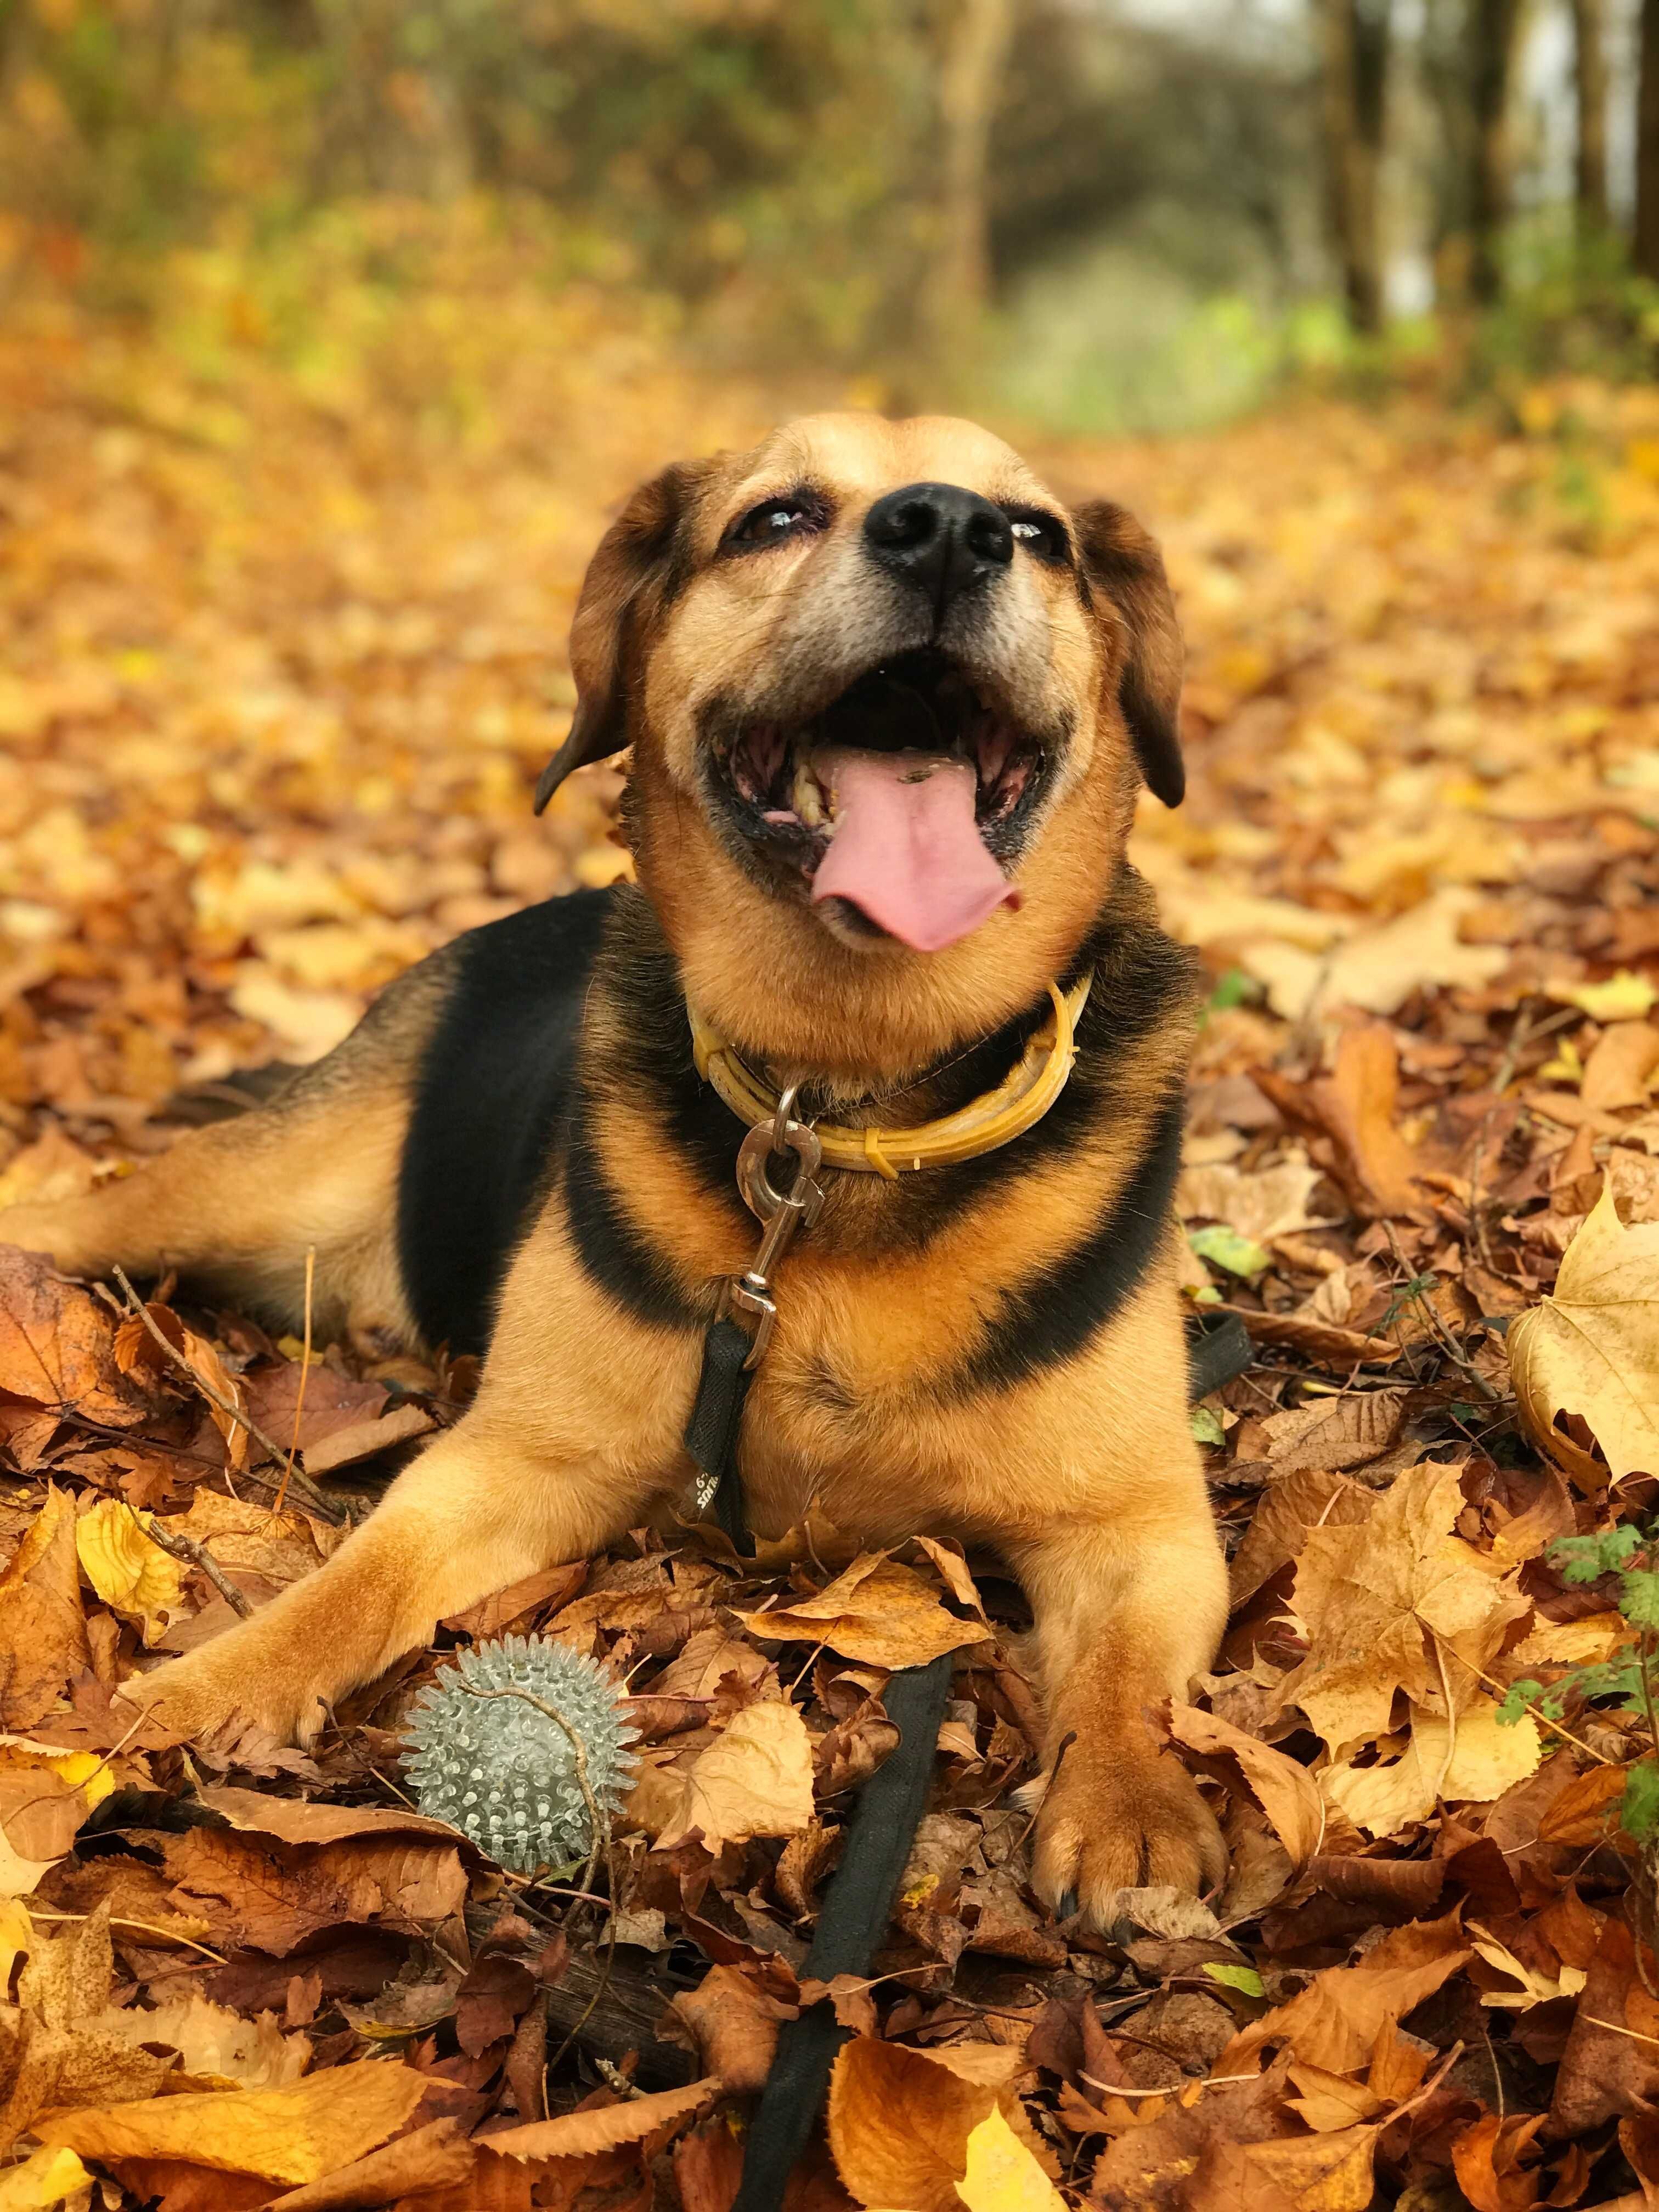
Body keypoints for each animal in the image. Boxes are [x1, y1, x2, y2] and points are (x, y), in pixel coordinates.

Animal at [3, 416, 1238, 1920]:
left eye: (1042, 535)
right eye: (776, 517)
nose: (951, 528)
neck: (842, 1108)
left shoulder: (1144, 1525)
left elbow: (1125, 1677)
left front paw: (1127, 1804)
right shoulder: (510, 1461)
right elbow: (354, 1581)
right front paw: (205, 1688)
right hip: (252, 1187)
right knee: (83, 1212)